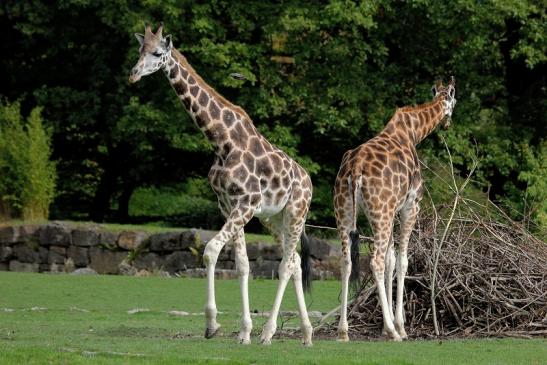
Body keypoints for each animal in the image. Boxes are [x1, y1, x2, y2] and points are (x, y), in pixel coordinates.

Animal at [130, 24, 316, 344]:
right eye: (139, 50)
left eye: (157, 53)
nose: (133, 74)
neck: (221, 141)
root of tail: (308, 181)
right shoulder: (228, 204)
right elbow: (242, 265)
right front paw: (243, 331)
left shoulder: (246, 202)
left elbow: (211, 250)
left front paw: (213, 324)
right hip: (274, 219)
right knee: (293, 262)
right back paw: (306, 334)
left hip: (295, 212)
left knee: (285, 265)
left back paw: (270, 333)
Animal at [334, 78, 458, 340]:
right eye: (454, 99)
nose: (448, 123)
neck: (413, 131)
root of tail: (355, 169)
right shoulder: (410, 205)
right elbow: (401, 261)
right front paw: (398, 325)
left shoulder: (390, 211)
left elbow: (391, 259)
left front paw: (384, 324)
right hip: (380, 212)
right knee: (375, 262)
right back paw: (394, 332)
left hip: (346, 212)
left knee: (347, 261)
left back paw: (343, 331)